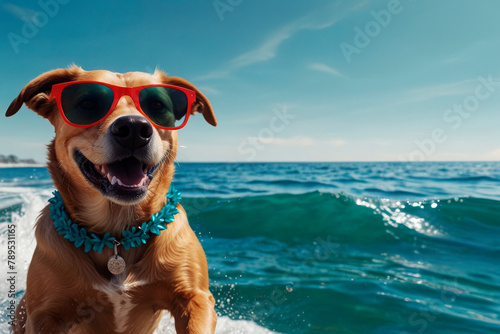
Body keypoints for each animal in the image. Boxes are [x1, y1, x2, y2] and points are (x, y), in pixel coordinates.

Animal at [5, 66, 217, 334]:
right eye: (88, 103)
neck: (117, 234)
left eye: (157, 105)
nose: (134, 129)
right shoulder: (45, 314)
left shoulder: (195, 298)